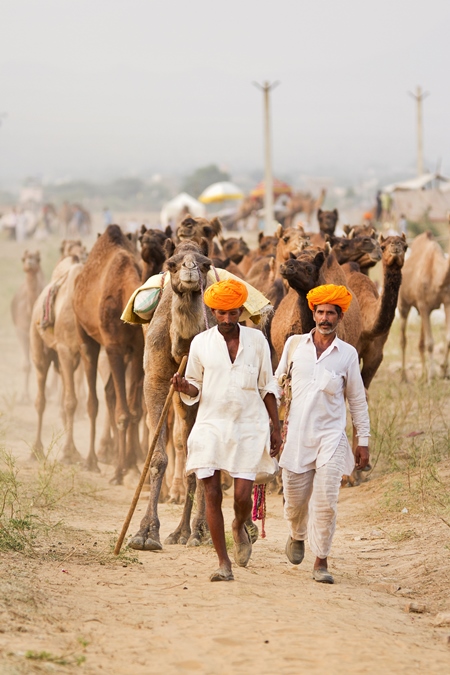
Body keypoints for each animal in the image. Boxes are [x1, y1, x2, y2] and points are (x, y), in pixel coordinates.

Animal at [29, 256, 85, 462]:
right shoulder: (66, 349)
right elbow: (71, 402)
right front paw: (70, 452)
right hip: (38, 343)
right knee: (40, 399)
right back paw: (36, 450)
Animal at [73, 224, 144, 484]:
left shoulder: (138, 348)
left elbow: (135, 411)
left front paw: (131, 468)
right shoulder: (114, 345)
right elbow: (122, 414)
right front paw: (119, 472)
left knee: (110, 392)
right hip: (87, 337)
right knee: (94, 402)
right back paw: (92, 462)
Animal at [400, 227, 450, 382]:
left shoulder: (446, 301)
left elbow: (447, 338)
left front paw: (443, 371)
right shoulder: (423, 304)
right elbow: (430, 343)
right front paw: (431, 377)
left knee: (420, 342)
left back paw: (422, 374)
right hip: (403, 304)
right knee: (403, 339)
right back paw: (404, 376)